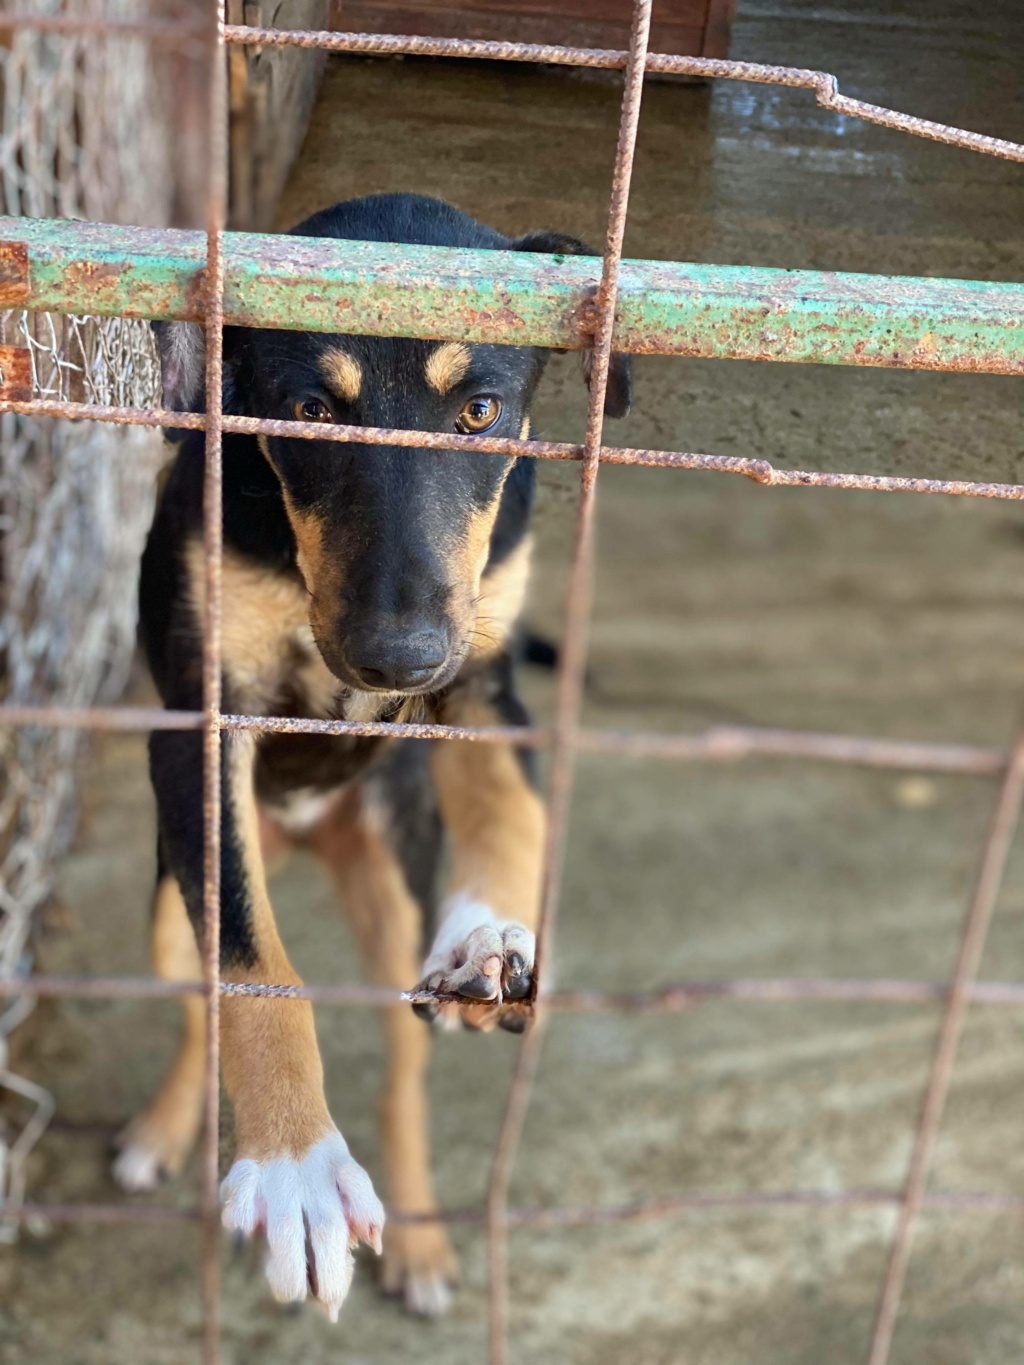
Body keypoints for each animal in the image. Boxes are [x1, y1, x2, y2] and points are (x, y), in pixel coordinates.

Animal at [110, 192, 625, 1321]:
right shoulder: (199, 727)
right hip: (165, 910)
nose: (400, 659)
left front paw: (489, 934)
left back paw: (424, 1237)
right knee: (194, 995)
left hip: (391, 891)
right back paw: (167, 1126)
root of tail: (304, 842)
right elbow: (251, 962)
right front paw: (296, 1165)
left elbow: (513, 815)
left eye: (479, 413)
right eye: (308, 410)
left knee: (402, 1072)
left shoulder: (485, 692)